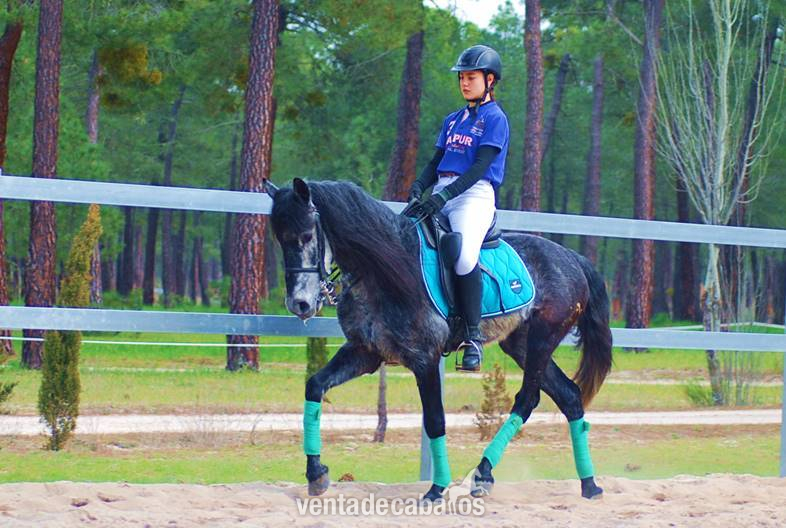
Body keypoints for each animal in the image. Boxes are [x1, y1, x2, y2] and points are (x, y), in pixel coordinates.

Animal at [264, 177, 613, 502]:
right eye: (280, 239)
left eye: (307, 236)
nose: (299, 304)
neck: (382, 271)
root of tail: (571, 258)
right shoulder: (364, 352)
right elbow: (315, 386)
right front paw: (316, 474)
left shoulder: (425, 359)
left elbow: (435, 420)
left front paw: (436, 489)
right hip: (521, 344)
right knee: (568, 396)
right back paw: (589, 485)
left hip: (543, 338)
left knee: (528, 399)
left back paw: (485, 473)